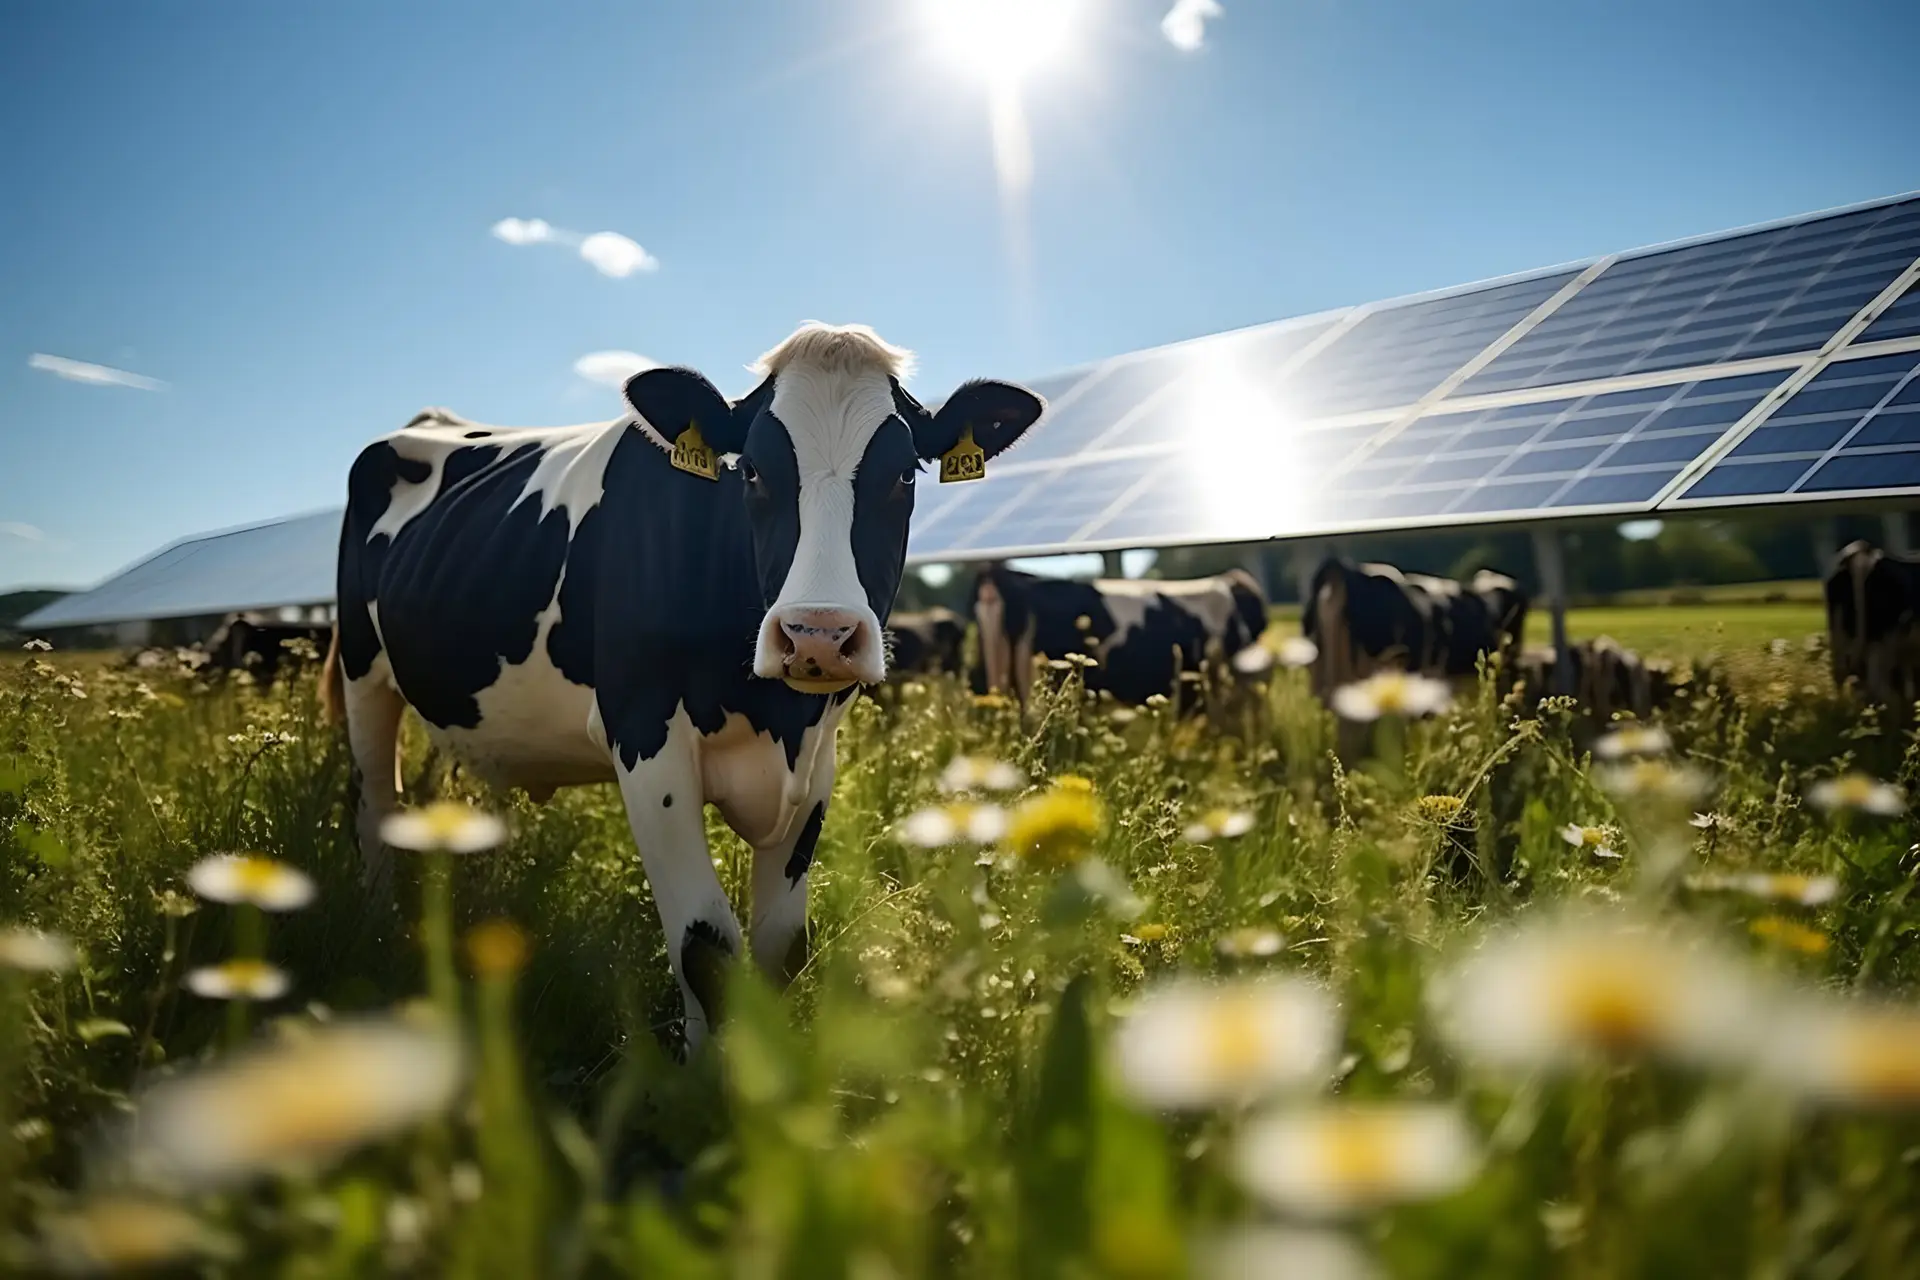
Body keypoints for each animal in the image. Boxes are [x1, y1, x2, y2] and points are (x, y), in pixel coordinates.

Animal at [326, 322, 1052, 1051]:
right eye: (751, 470)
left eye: (904, 473)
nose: (818, 635)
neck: (773, 716)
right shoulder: (643, 735)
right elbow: (707, 944)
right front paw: (705, 1070)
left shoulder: (817, 755)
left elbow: (782, 946)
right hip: (363, 672)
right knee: (375, 801)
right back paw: (376, 929)